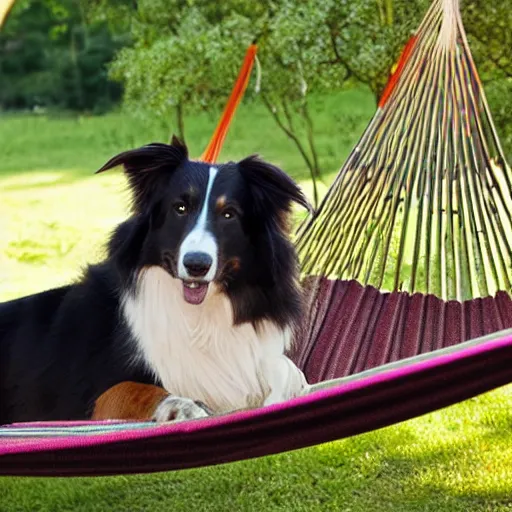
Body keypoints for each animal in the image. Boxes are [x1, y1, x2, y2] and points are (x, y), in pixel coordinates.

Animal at [0, 138, 312, 422]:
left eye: (229, 214)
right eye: (180, 208)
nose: (196, 265)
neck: (198, 318)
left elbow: (288, 369)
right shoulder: (89, 397)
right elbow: (134, 388)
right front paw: (181, 406)